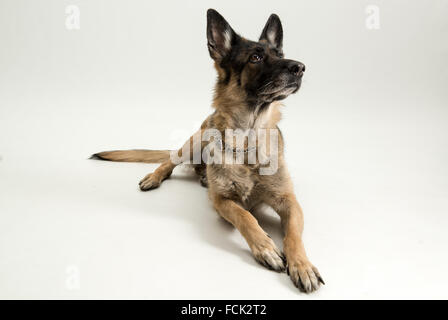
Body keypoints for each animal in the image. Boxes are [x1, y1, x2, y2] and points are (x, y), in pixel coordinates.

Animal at [92, 8, 322, 292]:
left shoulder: (289, 200)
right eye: (255, 58)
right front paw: (266, 247)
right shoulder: (221, 201)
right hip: (196, 140)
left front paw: (302, 265)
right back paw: (155, 177)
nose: (300, 67)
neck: (247, 142)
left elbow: (293, 235)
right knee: (170, 160)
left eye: (280, 54)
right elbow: (246, 216)